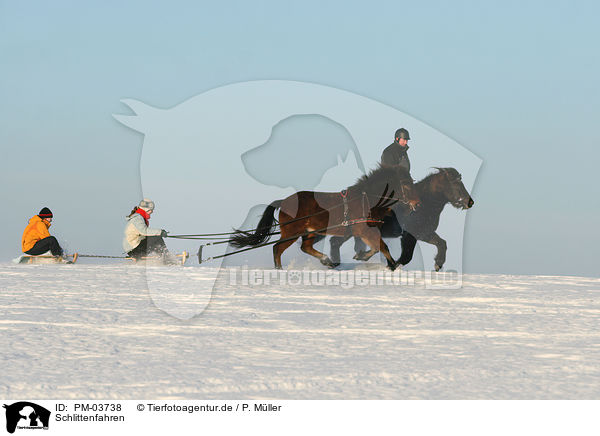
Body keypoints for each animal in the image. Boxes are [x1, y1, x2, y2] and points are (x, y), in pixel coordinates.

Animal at [230, 165, 422, 270]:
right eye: (405, 184)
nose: (418, 203)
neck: (366, 199)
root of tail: (283, 202)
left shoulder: (356, 232)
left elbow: (377, 248)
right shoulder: (365, 231)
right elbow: (381, 247)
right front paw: (392, 265)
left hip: (311, 232)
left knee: (305, 247)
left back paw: (327, 261)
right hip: (292, 232)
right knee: (277, 248)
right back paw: (280, 269)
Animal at [328, 169, 474, 270]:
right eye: (456, 184)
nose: (470, 202)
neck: (424, 203)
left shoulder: (424, 233)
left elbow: (442, 243)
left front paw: (438, 264)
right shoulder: (410, 235)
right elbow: (406, 257)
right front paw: (391, 266)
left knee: (334, 242)